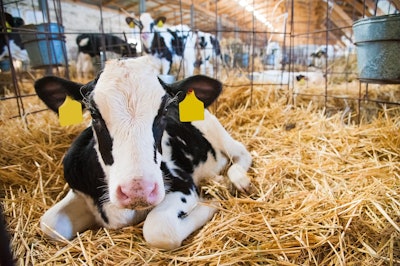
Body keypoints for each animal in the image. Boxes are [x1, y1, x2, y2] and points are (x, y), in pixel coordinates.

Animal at [36, 54, 252, 249]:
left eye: (164, 111)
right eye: (94, 114)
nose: (137, 191)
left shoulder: (182, 183)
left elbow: (159, 228)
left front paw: (210, 202)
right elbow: (49, 224)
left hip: (216, 131)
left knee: (241, 153)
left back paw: (238, 180)